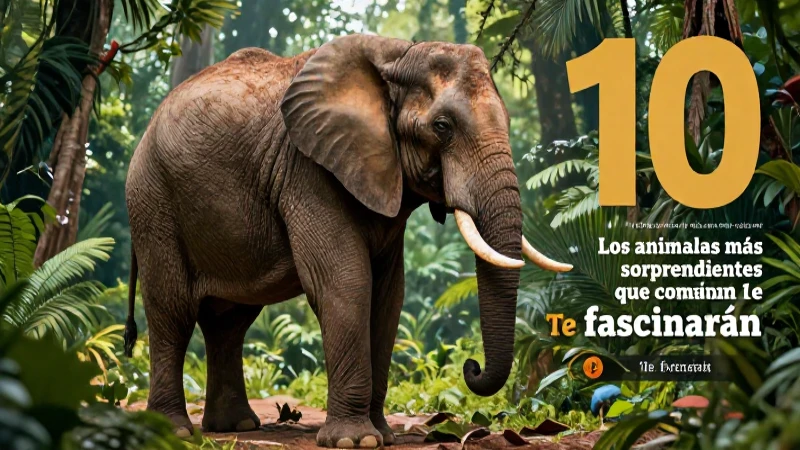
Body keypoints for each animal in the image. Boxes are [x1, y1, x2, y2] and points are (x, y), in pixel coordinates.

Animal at [123, 33, 571, 448]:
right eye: (442, 127)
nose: (471, 367)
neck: (399, 54)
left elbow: (388, 296)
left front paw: (382, 436)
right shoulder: (307, 170)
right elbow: (347, 282)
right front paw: (357, 441)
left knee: (229, 321)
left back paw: (236, 427)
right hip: (152, 200)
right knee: (172, 310)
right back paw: (174, 430)